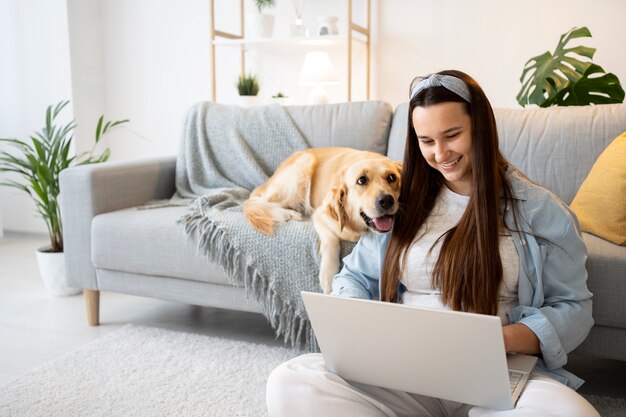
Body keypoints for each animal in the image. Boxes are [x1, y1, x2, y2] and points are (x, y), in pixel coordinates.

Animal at [241, 146, 402, 292]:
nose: (386, 200)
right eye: (361, 180)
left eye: (392, 177)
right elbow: (331, 240)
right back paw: (287, 213)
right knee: (254, 202)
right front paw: (328, 276)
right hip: (301, 170)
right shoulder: (320, 215)